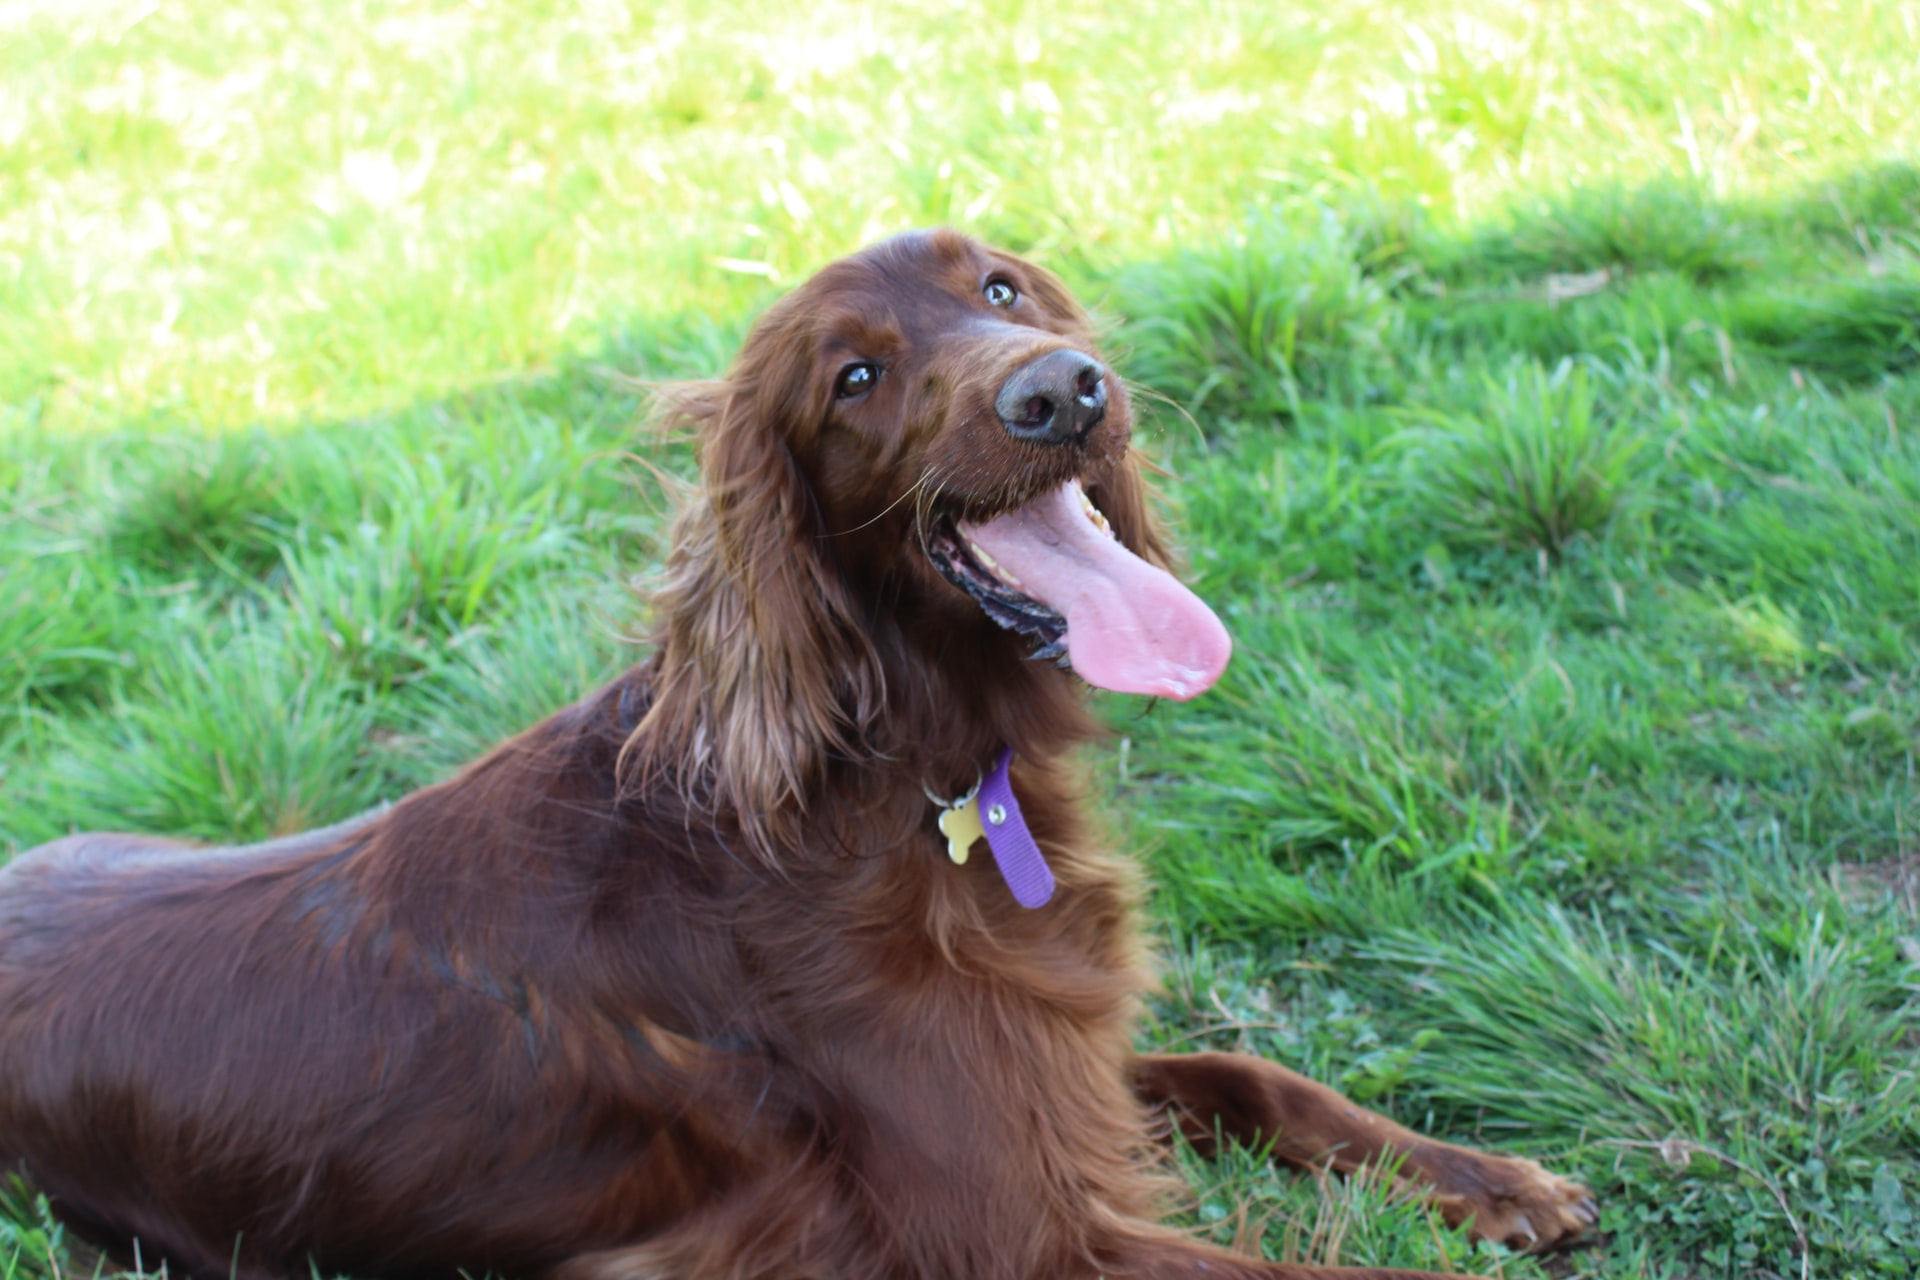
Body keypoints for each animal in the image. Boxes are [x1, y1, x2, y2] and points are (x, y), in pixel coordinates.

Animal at [0, 233, 1589, 1280]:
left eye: (999, 290)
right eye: (857, 377)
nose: (1061, 392)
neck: (898, 779)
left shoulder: (1056, 1060)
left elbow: (1249, 1070)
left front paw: (1490, 1175)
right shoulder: (1025, 1233)